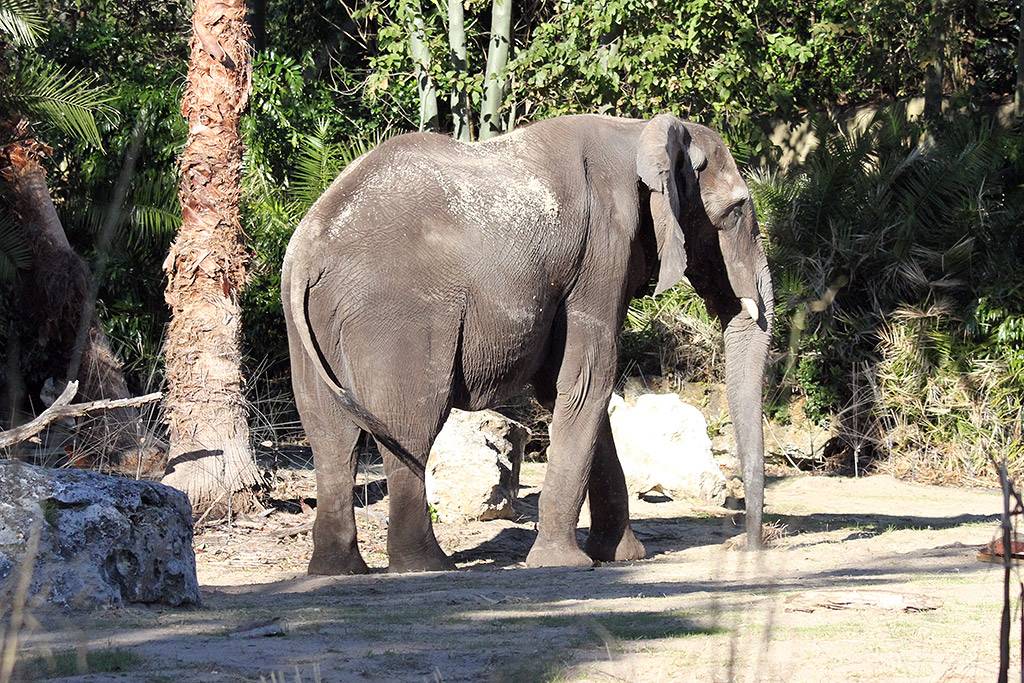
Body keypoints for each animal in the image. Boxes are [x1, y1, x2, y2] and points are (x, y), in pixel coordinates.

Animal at [284, 114, 770, 573]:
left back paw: (338, 570)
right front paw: (565, 564)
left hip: (307, 324)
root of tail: (309, 247)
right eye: (737, 210)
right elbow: (590, 380)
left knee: (331, 435)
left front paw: (622, 557)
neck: (638, 132)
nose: (745, 545)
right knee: (410, 428)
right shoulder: (603, 249)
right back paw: (426, 566)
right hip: (397, 318)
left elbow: (563, 388)